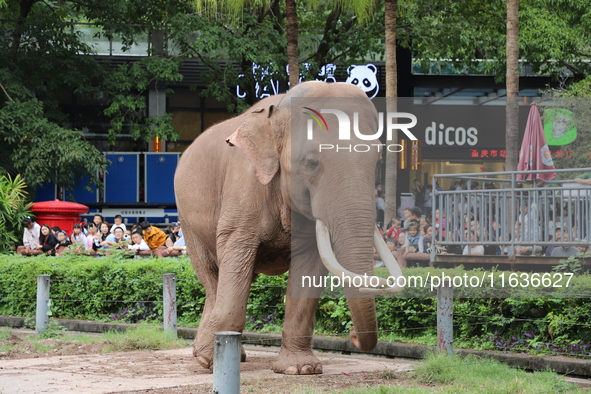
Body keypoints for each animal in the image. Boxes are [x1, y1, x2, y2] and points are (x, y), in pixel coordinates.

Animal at [173, 81, 404, 376]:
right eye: (311, 162)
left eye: (377, 160)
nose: (352, 335)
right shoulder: (243, 187)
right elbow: (236, 255)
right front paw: (214, 364)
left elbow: (308, 271)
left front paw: (300, 369)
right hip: (187, 218)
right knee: (211, 277)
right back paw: (207, 357)